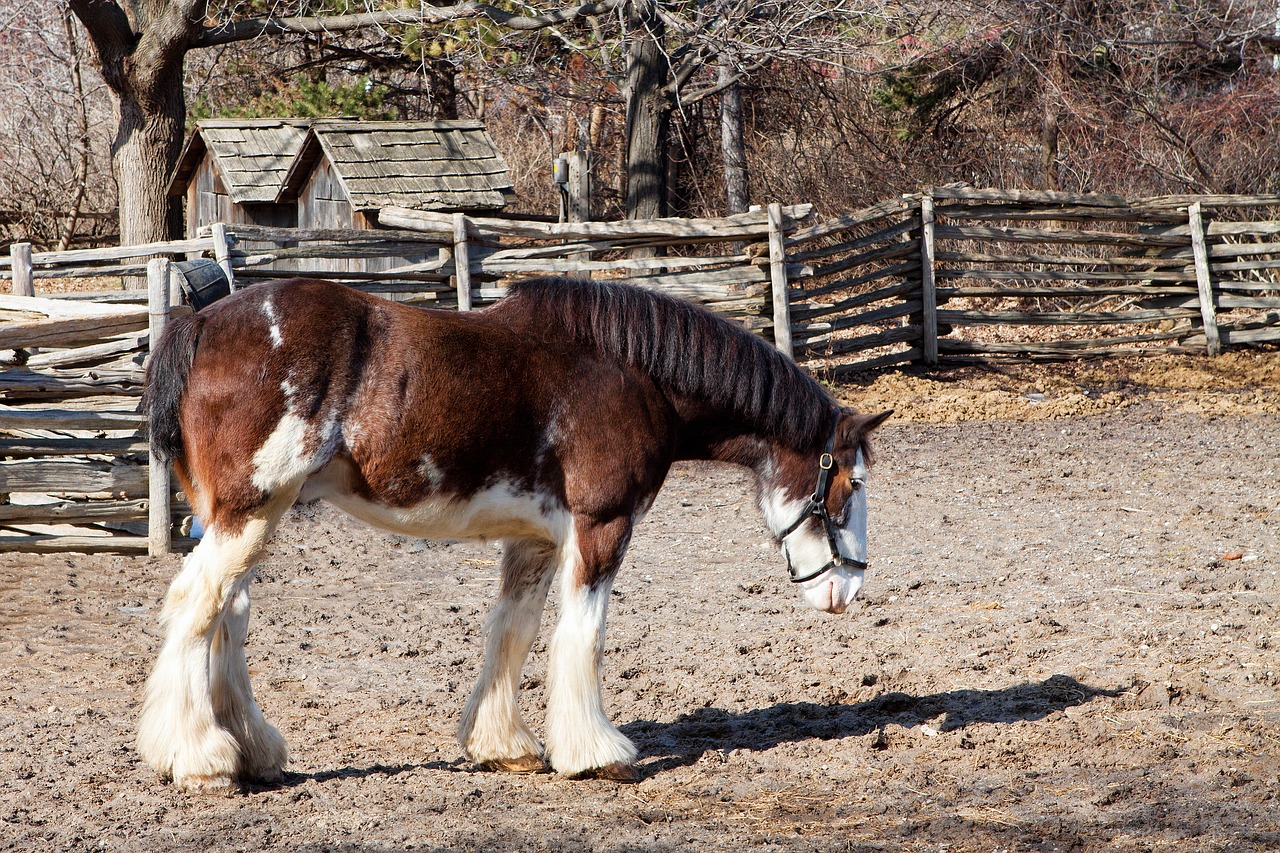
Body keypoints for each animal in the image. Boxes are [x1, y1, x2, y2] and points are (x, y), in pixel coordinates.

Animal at [135, 275, 885, 788]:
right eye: (850, 484)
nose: (846, 589)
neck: (631, 373)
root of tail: (199, 325)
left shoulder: (535, 539)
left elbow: (513, 631)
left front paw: (504, 745)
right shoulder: (602, 526)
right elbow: (583, 636)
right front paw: (595, 753)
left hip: (247, 517)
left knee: (227, 615)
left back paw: (251, 750)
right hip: (251, 512)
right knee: (196, 607)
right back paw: (199, 757)